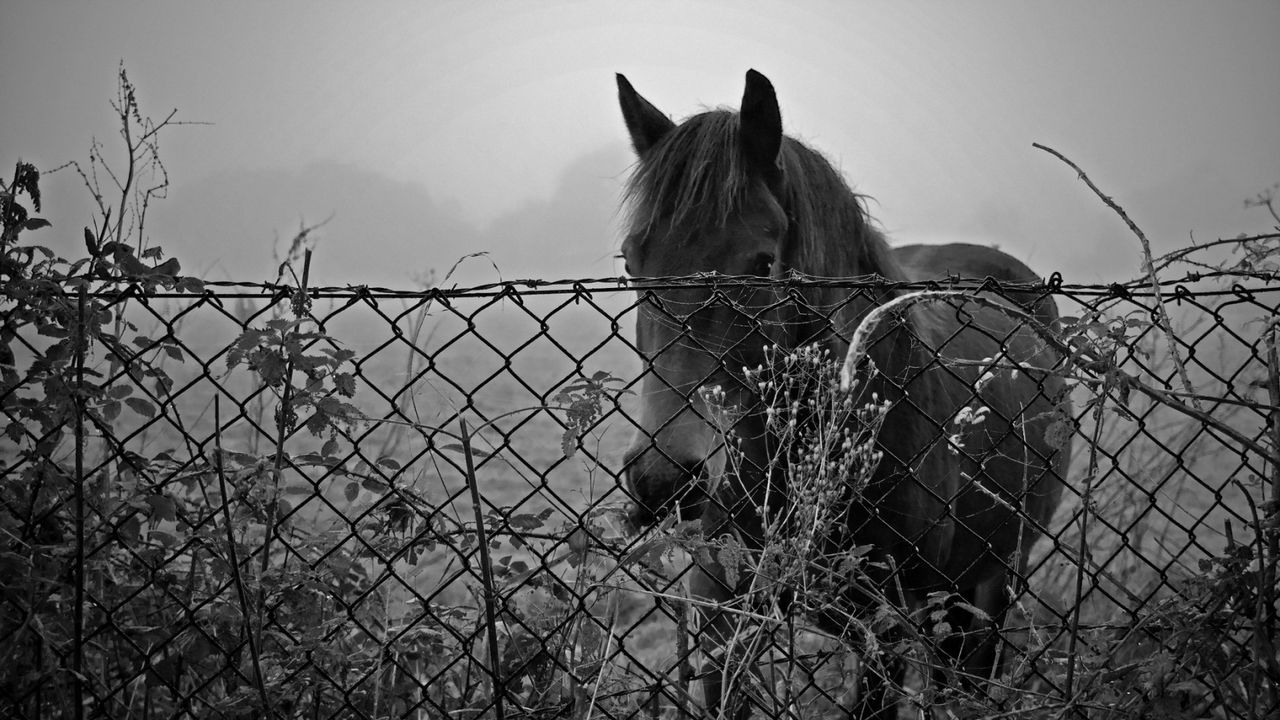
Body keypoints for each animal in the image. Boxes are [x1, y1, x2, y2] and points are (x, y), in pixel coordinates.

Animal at [614, 68, 1075, 717]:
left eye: (761, 264)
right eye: (633, 263)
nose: (662, 477)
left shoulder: (885, 625)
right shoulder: (724, 613)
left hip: (989, 579)